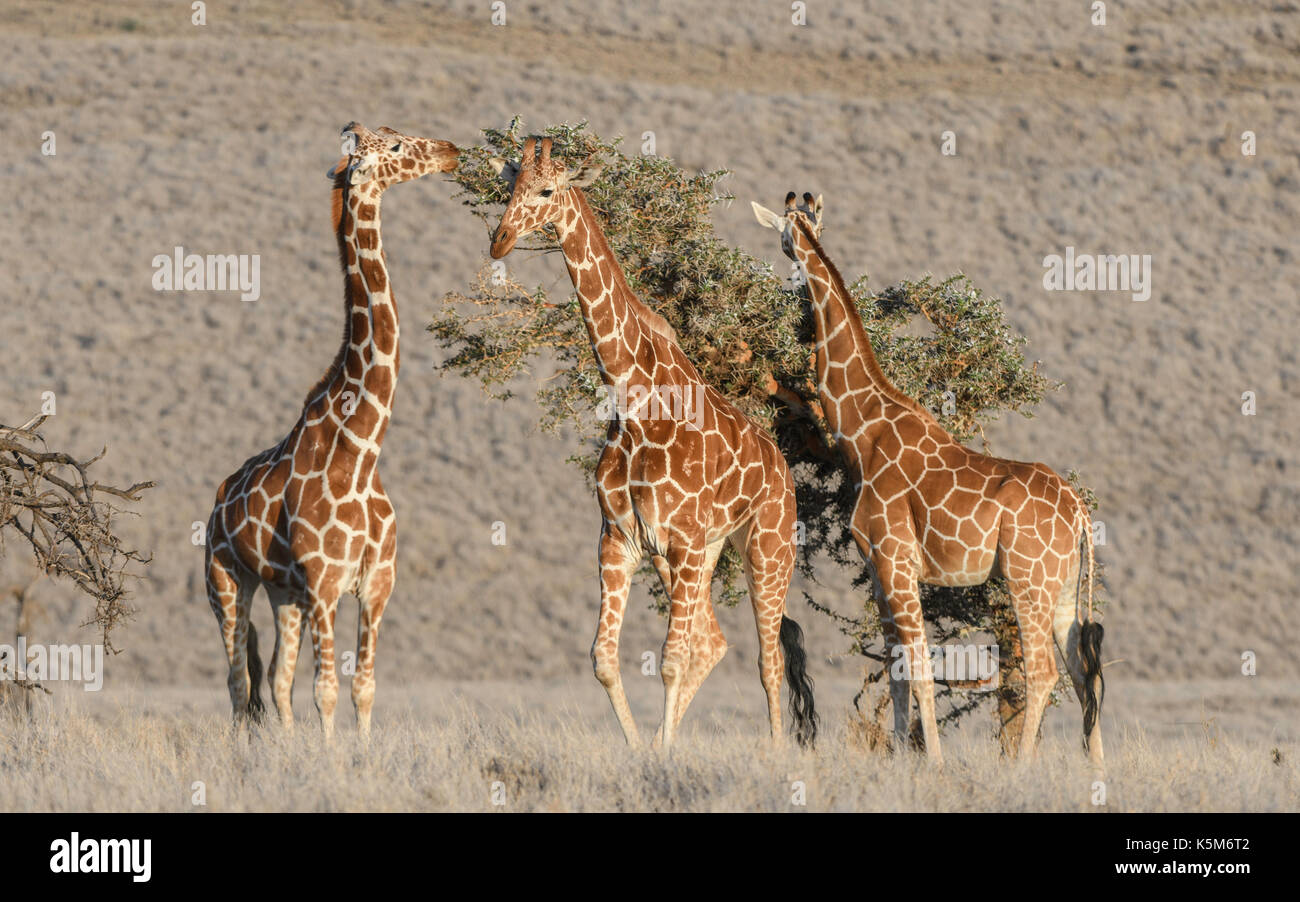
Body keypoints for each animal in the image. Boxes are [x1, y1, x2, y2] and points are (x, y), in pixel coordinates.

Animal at [205, 122, 460, 743]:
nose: (450, 151)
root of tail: (217, 501)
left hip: (283, 592)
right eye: (395, 147)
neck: (362, 447)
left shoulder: (375, 584)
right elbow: (325, 691)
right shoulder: (325, 584)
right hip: (226, 579)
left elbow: (361, 688)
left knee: (274, 681)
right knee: (238, 681)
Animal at [486, 139, 811, 748]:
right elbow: (604, 659)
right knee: (714, 640)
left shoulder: (680, 540)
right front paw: (644, 751)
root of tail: (782, 467)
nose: (500, 239)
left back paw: (778, 753)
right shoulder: (621, 539)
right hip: (701, 552)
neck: (633, 401)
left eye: (547, 189)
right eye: (509, 187)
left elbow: (669, 659)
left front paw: (660, 755)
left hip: (767, 547)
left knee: (768, 659)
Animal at [748, 194, 1102, 764]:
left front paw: (932, 760)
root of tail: (1079, 510)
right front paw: (899, 756)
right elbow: (895, 668)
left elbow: (917, 666)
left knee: (1045, 671)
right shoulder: (878, 566)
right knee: (1079, 666)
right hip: (1064, 581)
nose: (791, 263)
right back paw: (1095, 768)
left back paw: (1021, 768)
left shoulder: (896, 560)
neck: (861, 430)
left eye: (783, 240)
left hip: (1028, 577)